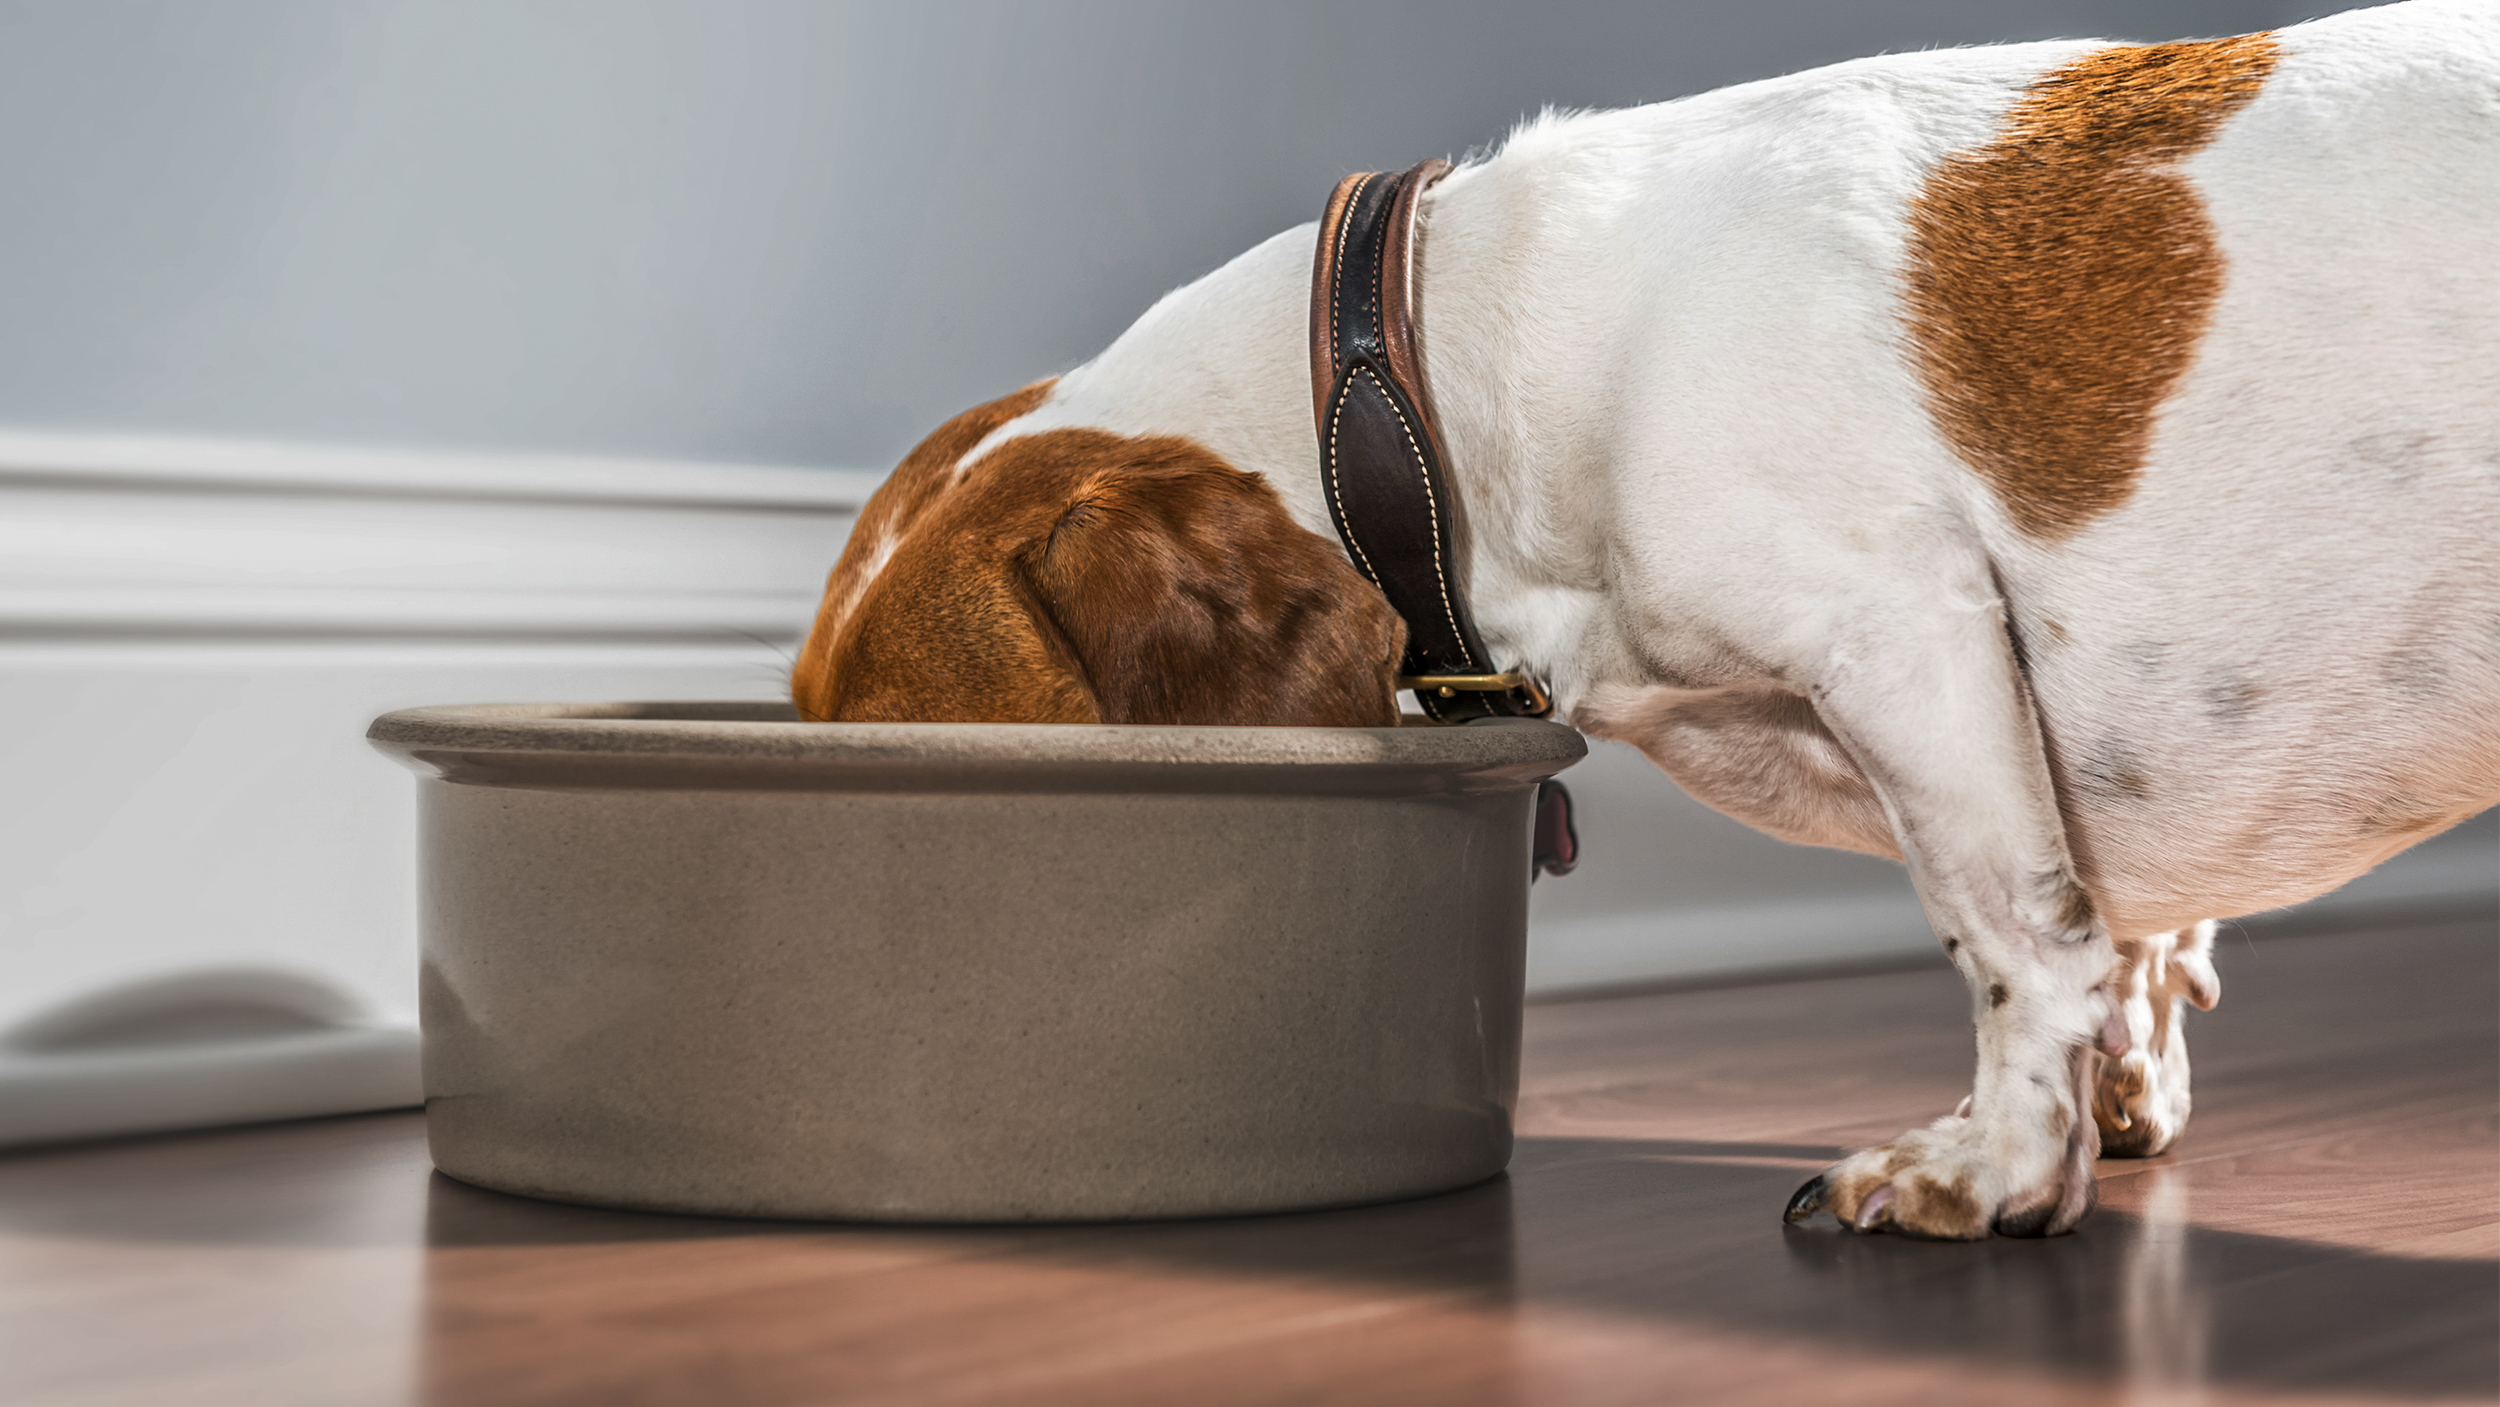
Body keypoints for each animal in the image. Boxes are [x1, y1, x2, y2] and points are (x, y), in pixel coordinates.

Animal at [795, 0, 2500, 1234]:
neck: (1447, 370)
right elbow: (2125, 940)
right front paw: (2116, 1085)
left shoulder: (1906, 634)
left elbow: (2009, 929)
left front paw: (1999, 1163)